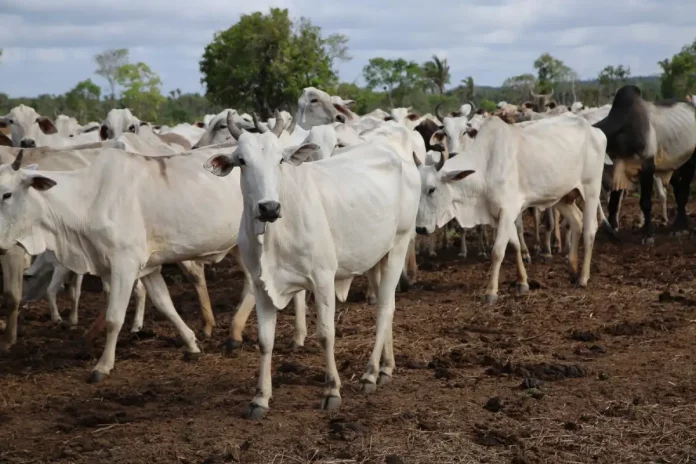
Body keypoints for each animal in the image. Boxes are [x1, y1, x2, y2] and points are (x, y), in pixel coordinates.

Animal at [201, 120, 418, 420]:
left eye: (280, 159)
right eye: (242, 161)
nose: (269, 207)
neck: (274, 234)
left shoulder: (323, 279)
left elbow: (326, 335)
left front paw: (331, 391)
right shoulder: (261, 285)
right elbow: (265, 341)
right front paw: (260, 398)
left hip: (399, 242)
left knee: (385, 309)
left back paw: (370, 374)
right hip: (378, 256)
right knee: (388, 306)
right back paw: (386, 367)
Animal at [416, 115, 608, 302]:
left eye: (432, 189)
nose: (420, 228)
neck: (485, 167)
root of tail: (594, 130)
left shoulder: (507, 211)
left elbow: (498, 251)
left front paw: (491, 292)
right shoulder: (500, 214)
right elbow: (515, 243)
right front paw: (522, 282)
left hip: (591, 190)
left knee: (590, 230)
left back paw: (583, 278)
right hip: (562, 197)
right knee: (577, 221)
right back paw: (572, 270)